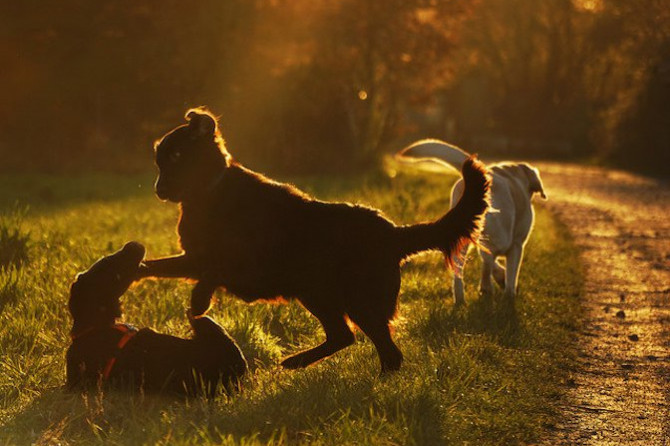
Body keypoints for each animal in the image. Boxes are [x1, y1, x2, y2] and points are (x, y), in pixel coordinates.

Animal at [65, 242, 248, 396]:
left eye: (105, 258)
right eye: (114, 272)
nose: (134, 244)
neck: (93, 326)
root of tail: (237, 381)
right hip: (211, 330)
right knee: (198, 317)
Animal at [138, 108, 494, 372]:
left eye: (177, 155)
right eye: (159, 160)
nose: (157, 189)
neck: (209, 193)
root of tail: (393, 232)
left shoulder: (241, 261)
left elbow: (214, 269)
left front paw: (199, 301)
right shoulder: (192, 259)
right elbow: (152, 266)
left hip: (341, 296)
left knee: (382, 350)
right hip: (321, 294)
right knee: (346, 338)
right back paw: (299, 363)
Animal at [400, 141, 544, 304]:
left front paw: (501, 279)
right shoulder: (516, 245)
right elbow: (511, 274)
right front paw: (509, 294)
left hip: (461, 237)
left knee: (461, 268)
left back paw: (461, 299)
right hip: (500, 236)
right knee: (487, 260)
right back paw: (486, 288)